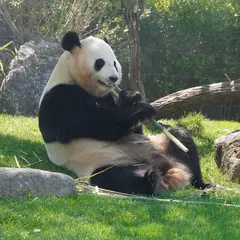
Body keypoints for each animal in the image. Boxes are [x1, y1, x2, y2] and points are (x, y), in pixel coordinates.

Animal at [38, 31, 210, 196]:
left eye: (115, 63)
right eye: (99, 63)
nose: (114, 78)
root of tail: (168, 168)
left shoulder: (107, 97)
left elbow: (133, 130)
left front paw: (130, 97)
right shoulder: (60, 98)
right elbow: (100, 125)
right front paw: (140, 109)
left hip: (160, 144)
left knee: (181, 138)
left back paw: (201, 184)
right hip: (101, 161)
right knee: (114, 177)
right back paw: (150, 178)